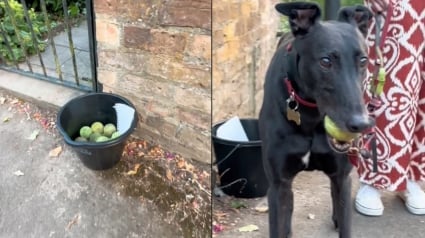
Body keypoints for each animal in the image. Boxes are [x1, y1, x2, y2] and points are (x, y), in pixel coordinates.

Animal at [258, 1, 372, 238]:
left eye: (363, 60)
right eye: (325, 61)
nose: (362, 124)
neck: (310, 116)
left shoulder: (342, 175)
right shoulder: (279, 184)